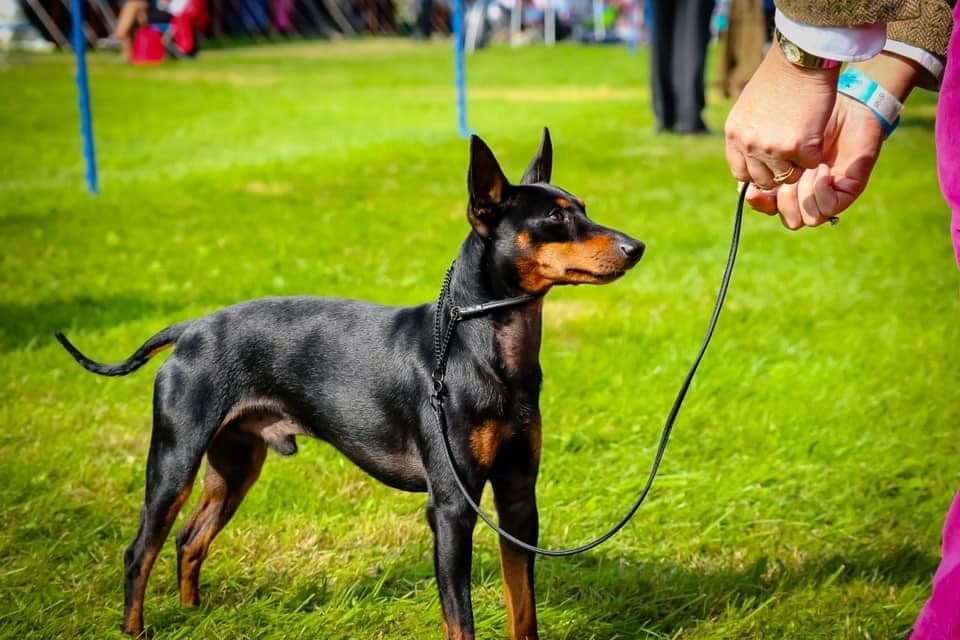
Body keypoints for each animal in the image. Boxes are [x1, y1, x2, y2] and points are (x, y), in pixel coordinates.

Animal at [54, 130, 644, 640]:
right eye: (555, 217)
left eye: (584, 207)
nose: (636, 246)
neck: (482, 348)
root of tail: (190, 330)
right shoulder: (452, 510)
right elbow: (461, 622)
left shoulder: (519, 498)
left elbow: (524, 611)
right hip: (175, 460)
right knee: (140, 551)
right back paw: (136, 628)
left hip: (236, 464)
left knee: (189, 539)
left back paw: (193, 615)